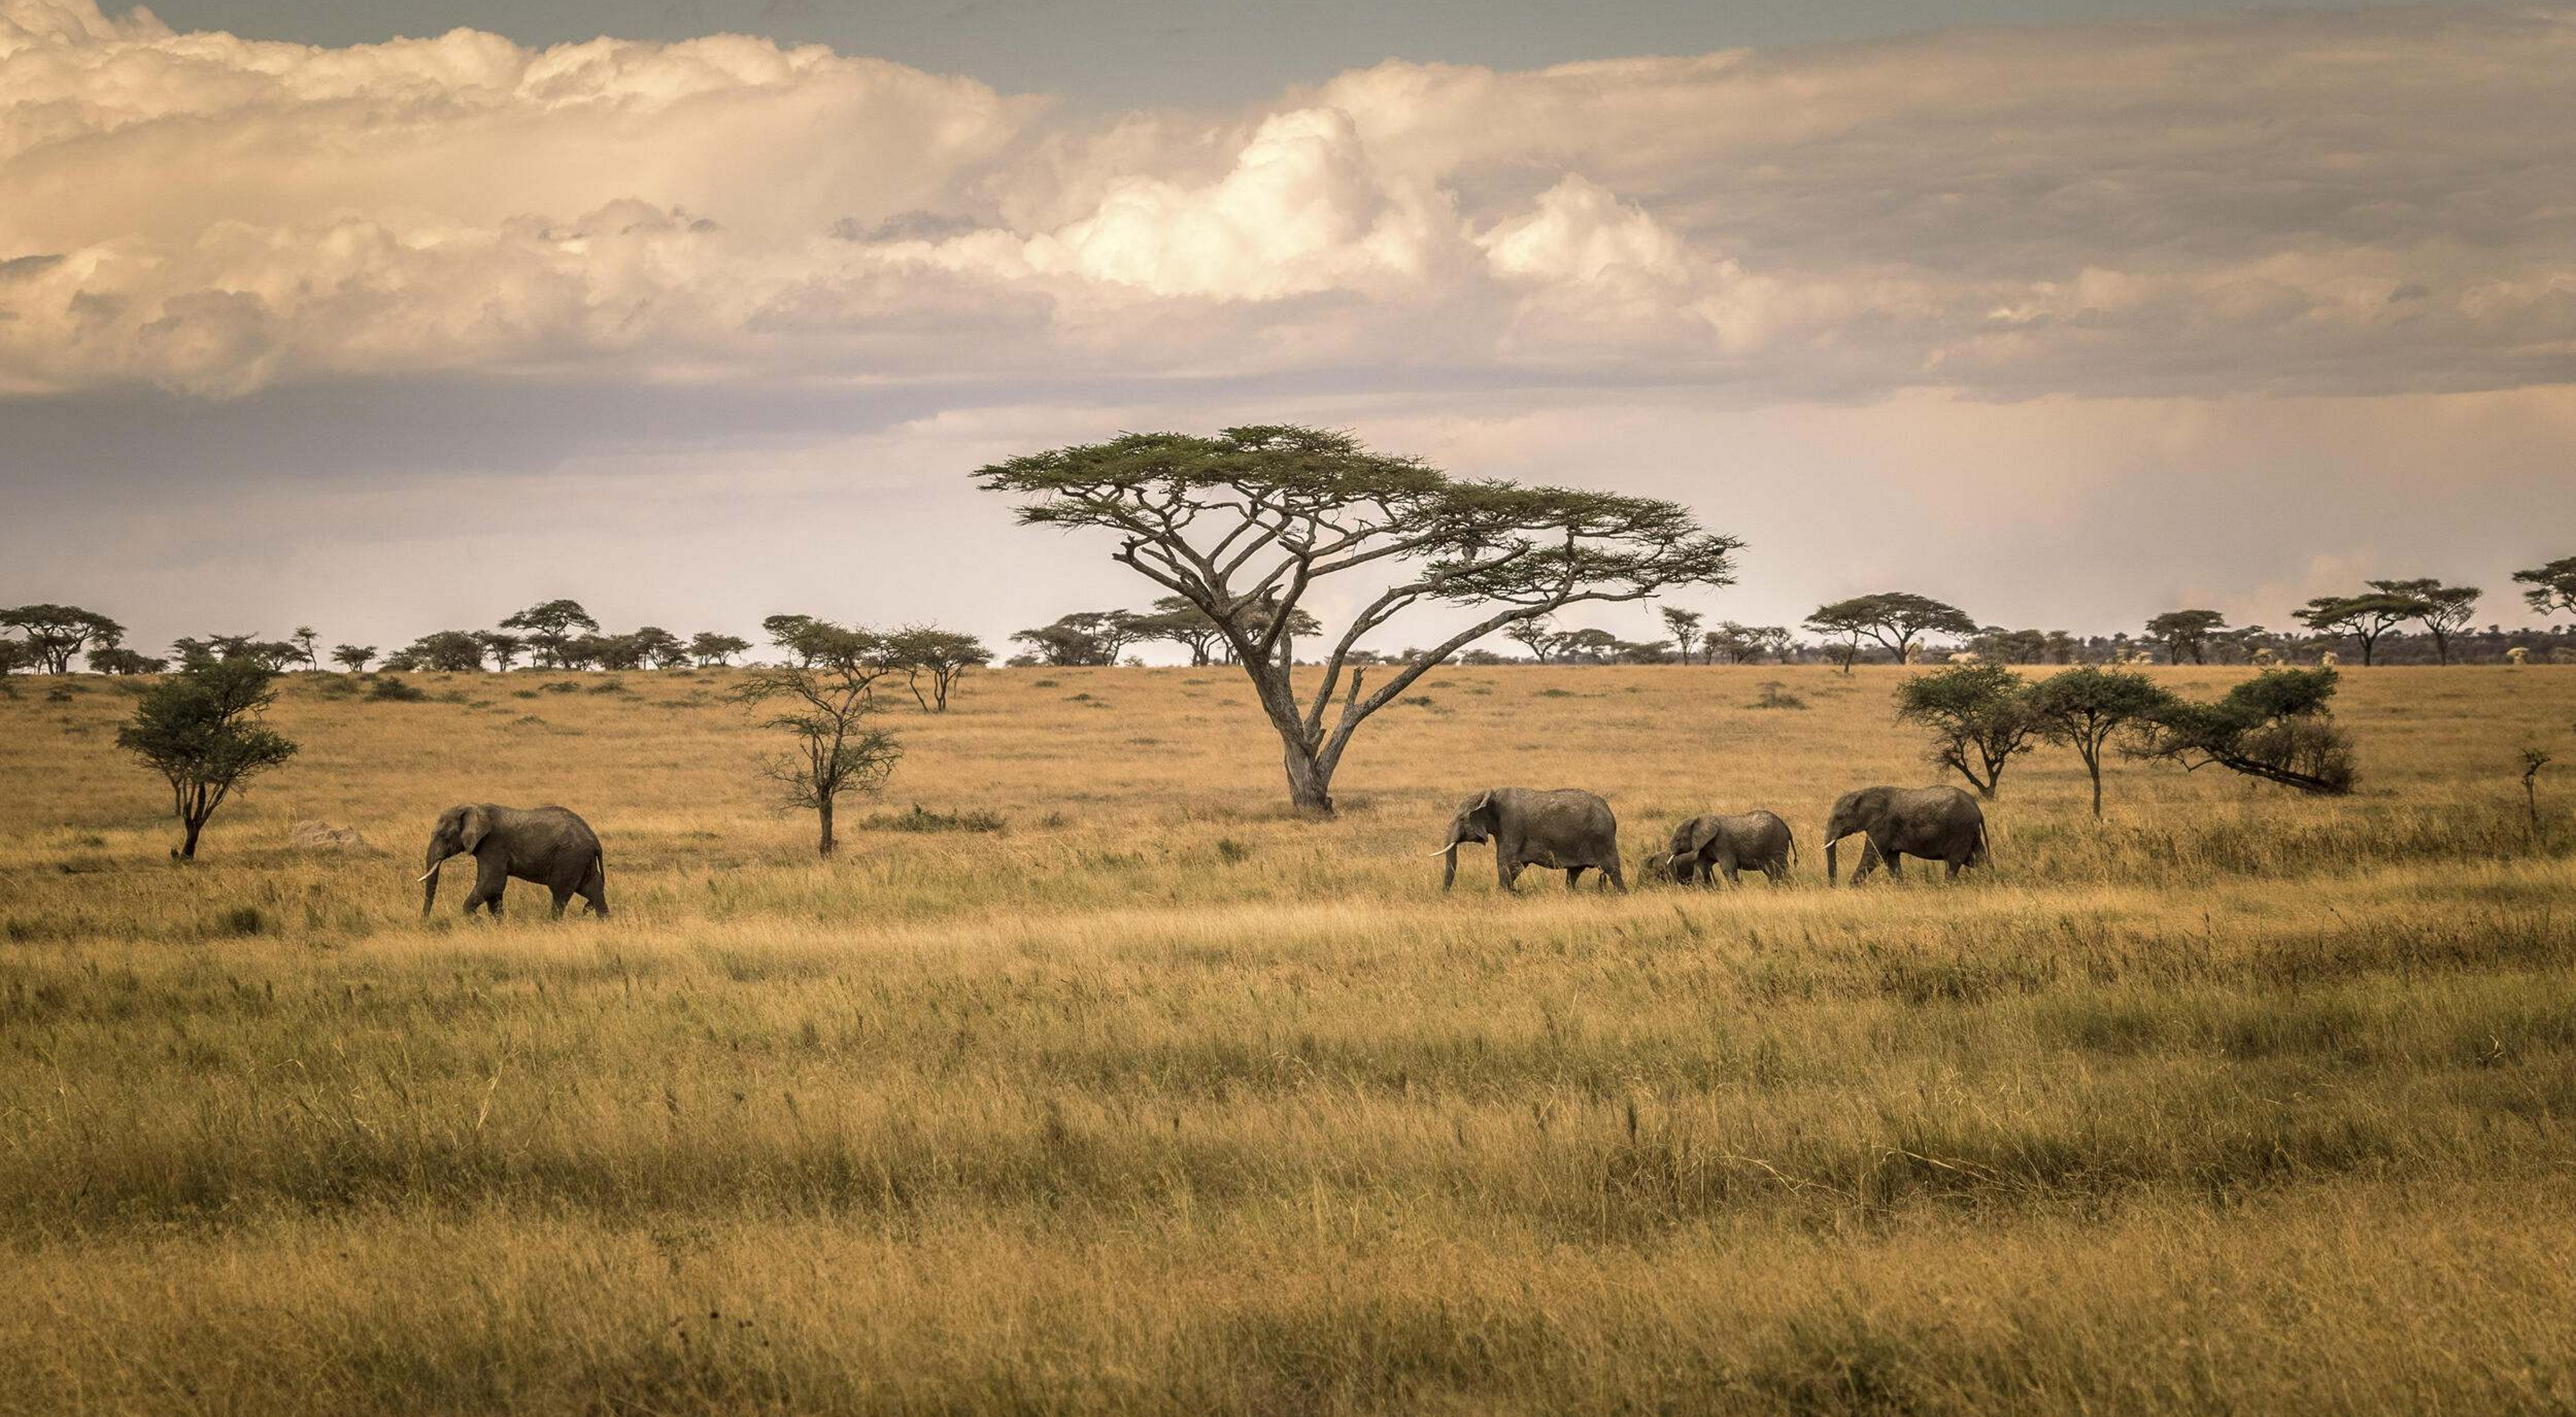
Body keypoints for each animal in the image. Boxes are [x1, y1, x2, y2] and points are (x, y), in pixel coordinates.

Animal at [419, 803, 607, 919]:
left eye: (443, 835)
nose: (425, 921)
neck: (475, 808)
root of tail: (594, 839)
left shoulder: (494, 845)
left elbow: (491, 884)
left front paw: (476, 920)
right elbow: (493, 890)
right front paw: (496, 924)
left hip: (569, 858)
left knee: (560, 892)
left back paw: (552, 923)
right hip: (581, 860)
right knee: (592, 889)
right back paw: (603, 921)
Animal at [1436, 787, 1625, 892]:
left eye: (1462, 819)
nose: (1444, 894)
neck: (1489, 794)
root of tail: (1611, 814)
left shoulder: (1512, 826)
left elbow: (1507, 864)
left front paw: (1506, 894)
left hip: (1603, 838)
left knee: (1613, 871)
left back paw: (1621, 894)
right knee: (1574, 873)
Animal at [1659, 810, 1796, 886]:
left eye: (1678, 839)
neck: (1697, 819)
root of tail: (1786, 827)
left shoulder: (1723, 844)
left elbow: (1728, 869)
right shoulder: (1706, 847)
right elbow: (1700, 867)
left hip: (1777, 845)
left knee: (1779, 870)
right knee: (1772, 872)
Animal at [1822, 785, 1987, 885]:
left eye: (1840, 818)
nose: (1834, 887)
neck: (1865, 793)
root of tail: (1977, 809)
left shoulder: (1883, 825)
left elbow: (1873, 856)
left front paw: (1851, 886)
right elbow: (1891, 860)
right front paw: (1902, 887)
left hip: (1960, 830)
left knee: (1955, 861)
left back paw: (1946, 886)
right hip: (1971, 832)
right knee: (1976, 859)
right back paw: (1989, 879)